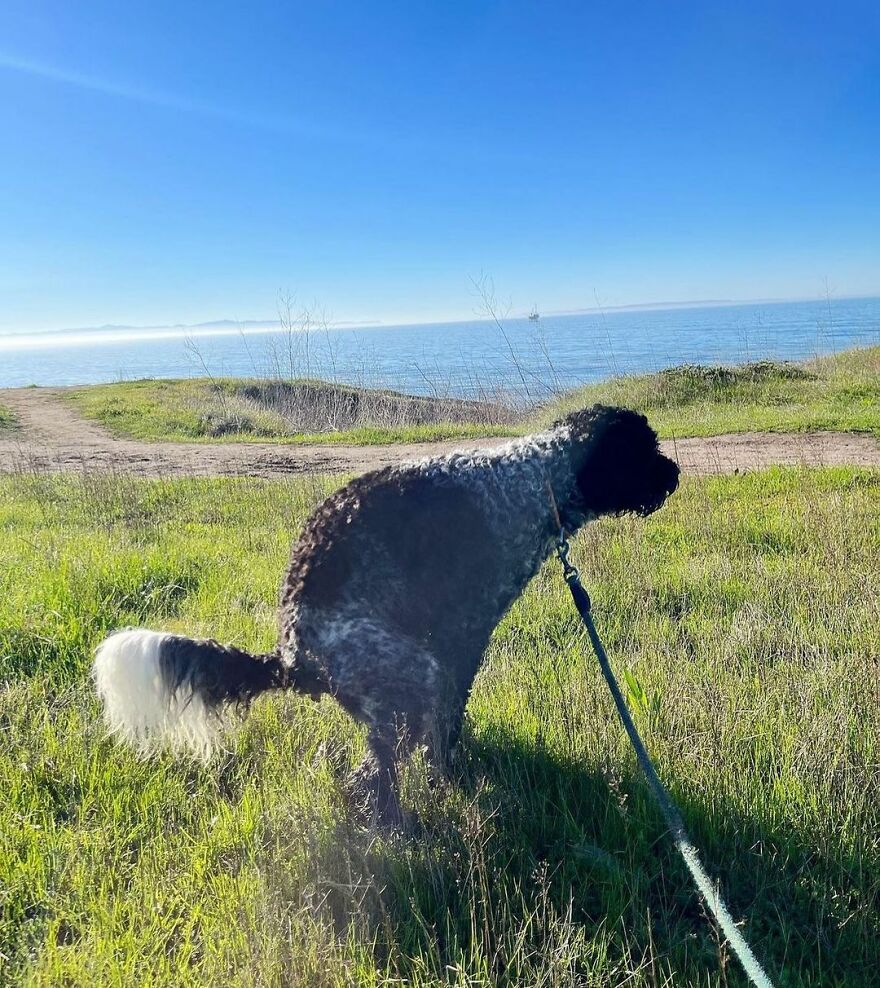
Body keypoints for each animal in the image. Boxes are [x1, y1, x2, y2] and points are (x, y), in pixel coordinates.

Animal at [91, 404, 680, 824]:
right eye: (645, 449)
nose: (674, 473)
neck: (537, 482)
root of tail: (291, 656)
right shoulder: (458, 641)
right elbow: (446, 730)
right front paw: (451, 780)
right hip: (407, 676)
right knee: (370, 780)